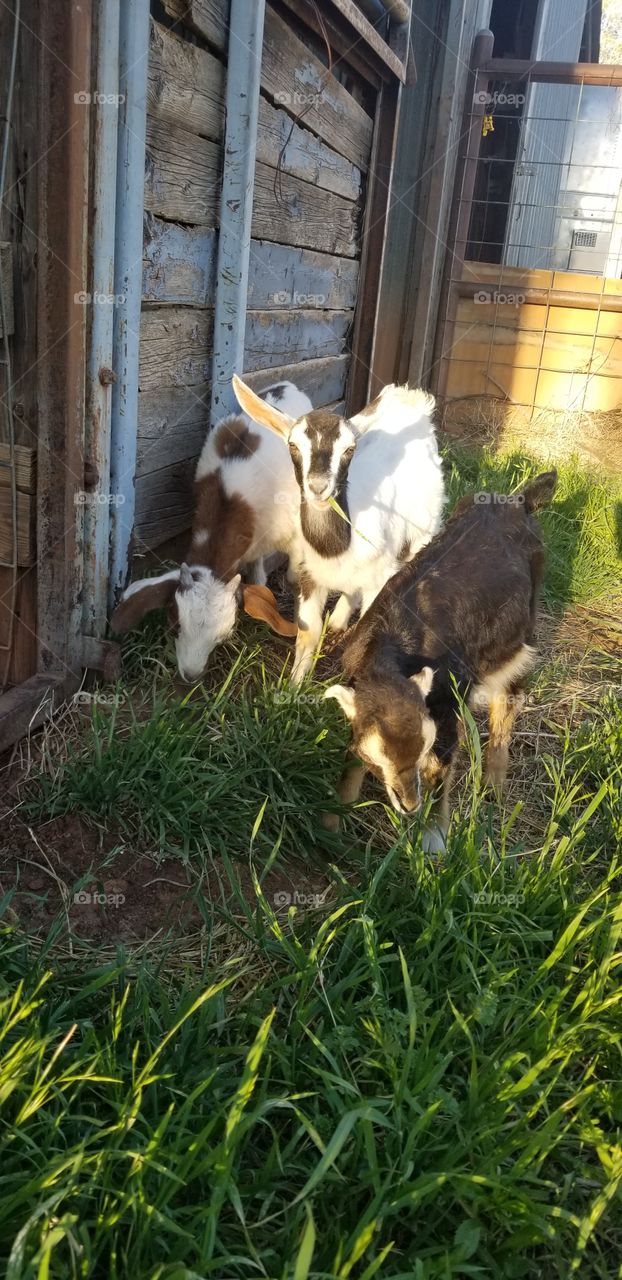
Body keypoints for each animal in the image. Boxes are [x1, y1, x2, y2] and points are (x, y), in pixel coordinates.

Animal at [111, 382, 312, 681]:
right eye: (175, 623)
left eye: (224, 636)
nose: (190, 675)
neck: (230, 499)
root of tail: (286, 385)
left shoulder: (295, 537)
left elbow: (297, 580)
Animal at [232, 377, 446, 683]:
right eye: (293, 446)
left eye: (349, 449)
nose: (319, 487)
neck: (335, 549)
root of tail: (411, 401)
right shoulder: (309, 574)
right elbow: (307, 632)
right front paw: (294, 684)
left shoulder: (378, 579)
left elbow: (366, 635)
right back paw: (337, 619)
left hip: (423, 531)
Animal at [322, 471, 558, 852]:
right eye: (380, 758)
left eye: (422, 749)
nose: (408, 805)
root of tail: (519, 500)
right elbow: (352, 759)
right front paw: (330, 825)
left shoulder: (448, 706)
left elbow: (439, 770)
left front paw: (434, 840)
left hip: (523, 633)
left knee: (510, 694)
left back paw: (493, 785)